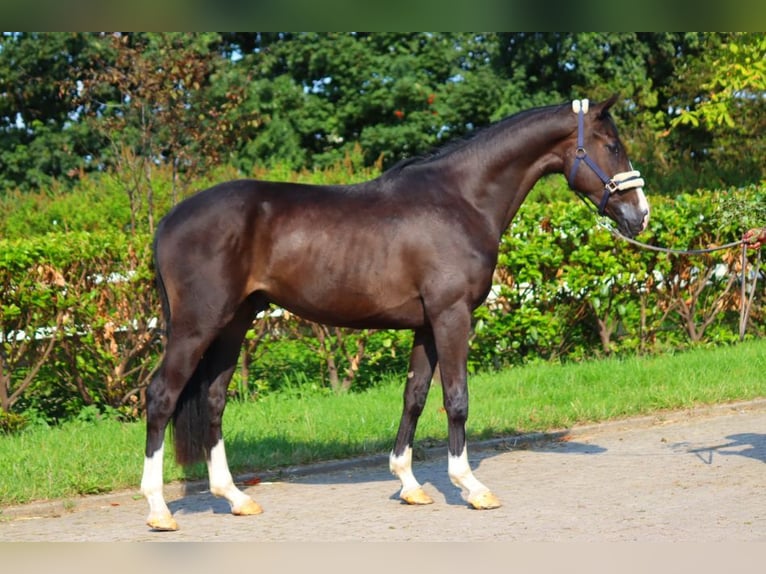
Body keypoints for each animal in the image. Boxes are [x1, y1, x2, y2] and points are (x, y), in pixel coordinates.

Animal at [141, 94, 652, 532]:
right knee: (161, 396)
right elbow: (456, 398)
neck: (462, 199)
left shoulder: (426, 326)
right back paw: (159, 510)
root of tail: (168, 220)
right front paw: (471, 487)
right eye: (612, 146)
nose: (641, 215)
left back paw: (235, 498)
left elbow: (415, 397)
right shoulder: (451, 316)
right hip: (197, 327)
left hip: (235, 323)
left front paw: (409, 484)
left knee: (213, 399)